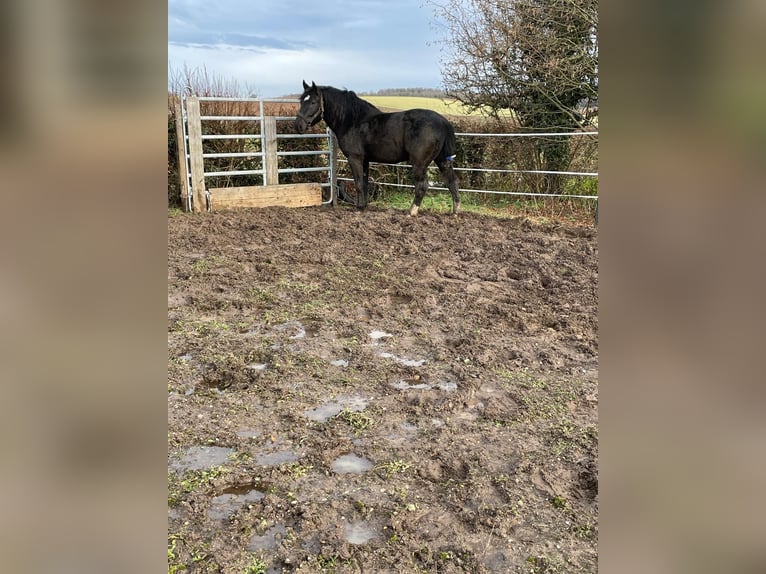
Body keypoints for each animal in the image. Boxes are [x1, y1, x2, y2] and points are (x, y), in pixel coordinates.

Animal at [296, 80, 462, 216]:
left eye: (313, 102)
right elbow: (364, 183)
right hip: (442, 160)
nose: (298, 125)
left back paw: (411, 212)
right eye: (301, 101)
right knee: (452, 182)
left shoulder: (355, 158)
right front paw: (363, 206)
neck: (354, 121)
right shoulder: (365, 160)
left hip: (419, 163)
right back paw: (455, 212)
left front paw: (359, 208)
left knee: (422, 185)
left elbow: (358, 183)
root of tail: (443, 122)